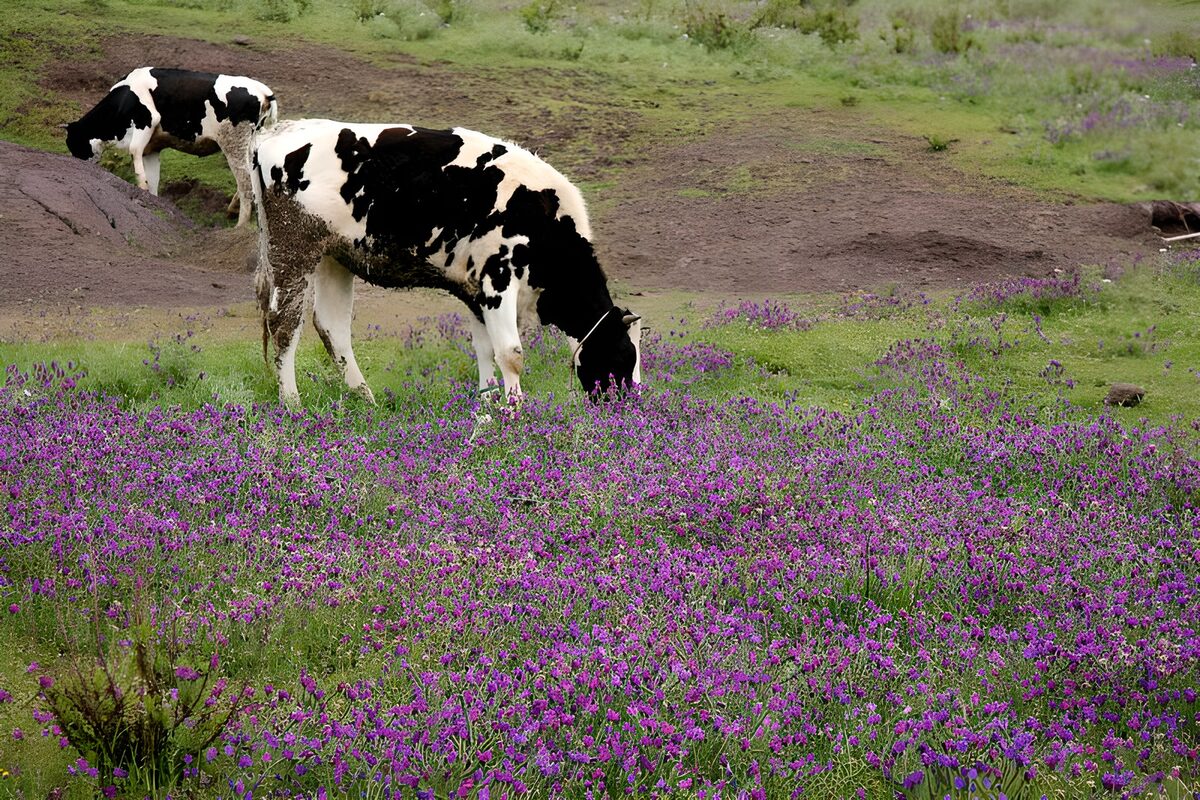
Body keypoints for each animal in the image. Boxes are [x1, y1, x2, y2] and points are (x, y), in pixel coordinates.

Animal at [65, 67, 278, 227]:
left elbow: (135, 153)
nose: (78, 164)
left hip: (234, 143)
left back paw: (240, 224)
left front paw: (140, 188)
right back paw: (233, 210)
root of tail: (263, 91)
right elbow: (153, 180)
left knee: (246, 182)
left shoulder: (147, 121)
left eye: (73, 143)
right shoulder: (152, 149)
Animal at [251, 118, 642, 406]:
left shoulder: (476, 291)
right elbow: (511, 353)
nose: (628, 406)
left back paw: (366, 399)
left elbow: (486, 351)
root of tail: (277, 132)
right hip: (293, 248)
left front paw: (487, 410)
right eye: (625, 355)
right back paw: (292, 404)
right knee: (284, 323)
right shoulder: (498, 278)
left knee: (333, 327)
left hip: (336, 255)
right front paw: (515, 415)